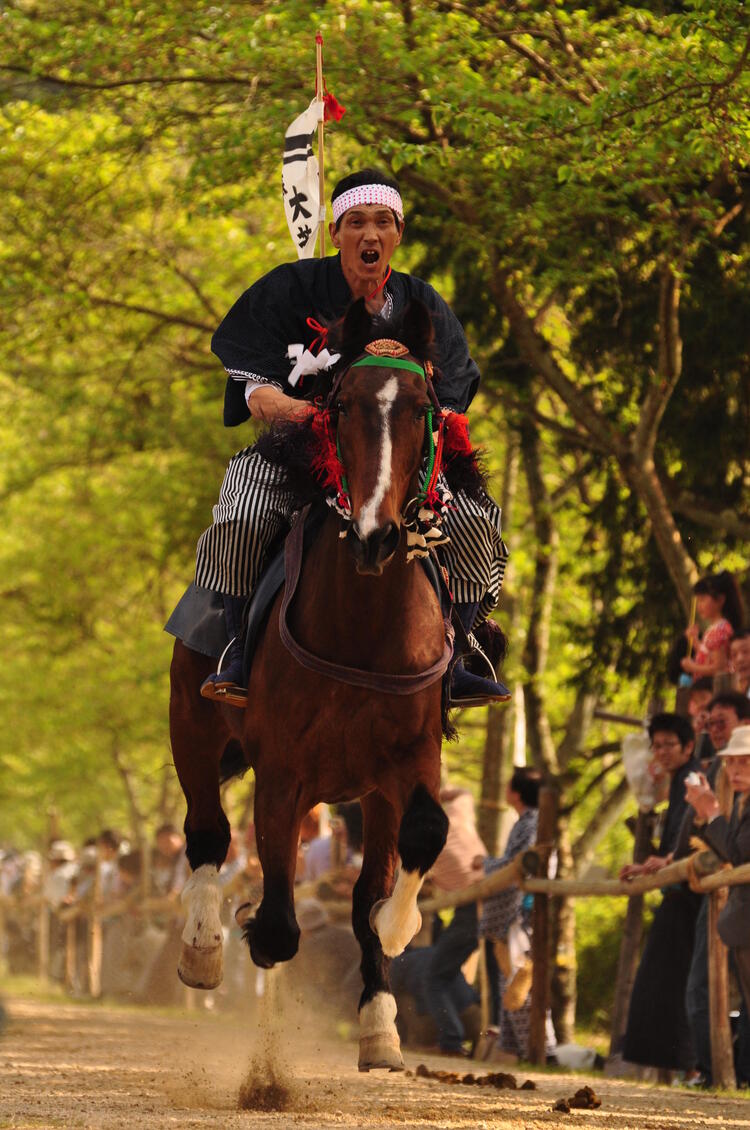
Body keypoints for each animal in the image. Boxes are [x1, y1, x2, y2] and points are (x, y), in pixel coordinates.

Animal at [169, 298, 483, 1066]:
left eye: (426, 409)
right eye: (340, 405)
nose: (376, 533)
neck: (363, 628)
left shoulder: (407, 760)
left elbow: (422, 838)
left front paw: (396, 938)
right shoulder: (283, 768)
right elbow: (279, 922)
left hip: (364, 790)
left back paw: (377, 1017)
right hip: (192, 724)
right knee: (207, 833)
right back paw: (202, 948)